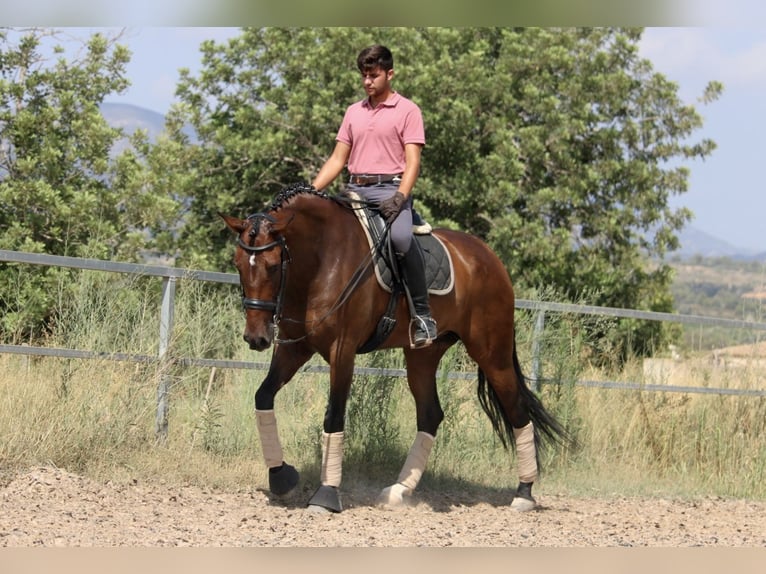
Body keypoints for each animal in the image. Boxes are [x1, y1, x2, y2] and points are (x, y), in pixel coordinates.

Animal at [222, 183, 568, 512]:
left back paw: (524, 494)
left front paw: (326, 495)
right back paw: (400, 491)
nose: (256, 338)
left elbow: (334, 416)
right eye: (238, 264)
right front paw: (281, 476)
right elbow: (263, 397)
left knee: (517, 410)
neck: (322, 259)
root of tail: (488, 257)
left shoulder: (342, 351)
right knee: (430, 415)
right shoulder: (294, 349)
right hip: (423, 355)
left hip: (491, 353)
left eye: (272, 265)